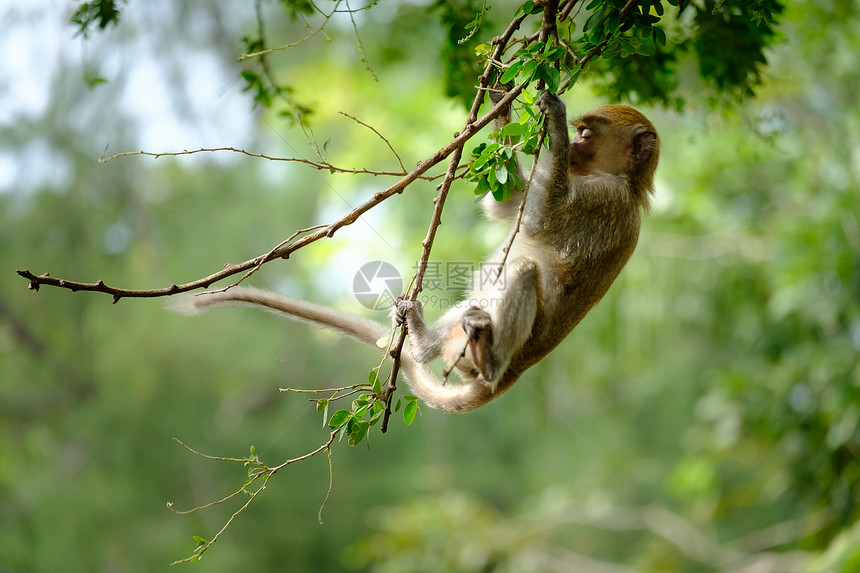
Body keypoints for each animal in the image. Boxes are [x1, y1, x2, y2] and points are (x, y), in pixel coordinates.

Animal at [173, 92, 660, 416]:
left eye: (586, 134)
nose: (572, 146)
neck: (626, 183)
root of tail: (515, 370)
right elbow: (508, 207)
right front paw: (503, 104)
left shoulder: (604, 201)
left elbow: (537, 222)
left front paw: (551, 122)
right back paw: (424, 342)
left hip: (492, 353)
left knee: (520, 267)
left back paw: (489, 360)